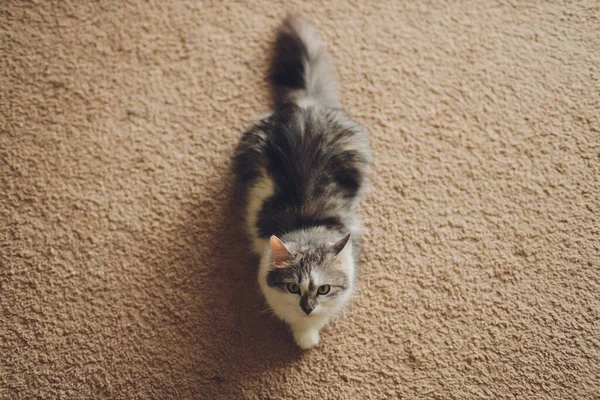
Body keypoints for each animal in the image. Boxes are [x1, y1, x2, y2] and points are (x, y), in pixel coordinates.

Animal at [233, 14, 370, 348]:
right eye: (293, 288)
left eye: (324, 289)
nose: (308, 307)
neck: (308, 226)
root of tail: (305, 104)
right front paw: (304, 336)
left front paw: (308, 336)